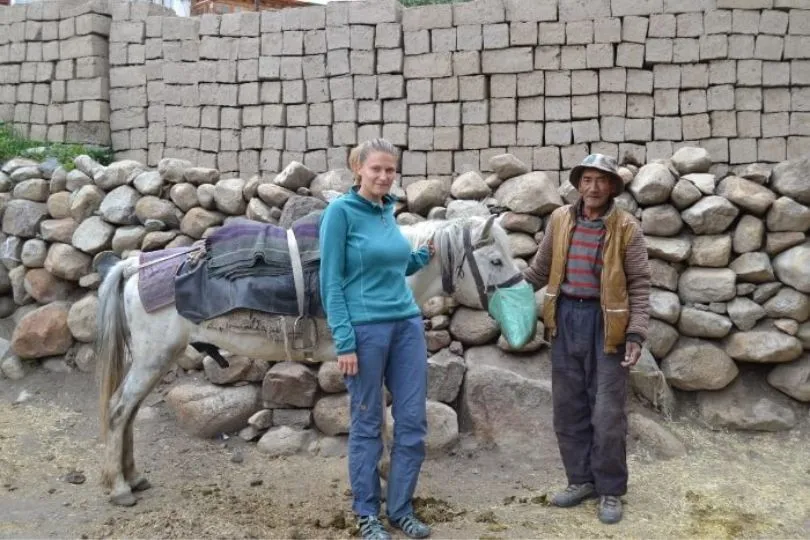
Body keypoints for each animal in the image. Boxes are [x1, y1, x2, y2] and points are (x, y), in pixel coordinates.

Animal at [94, 214, 532, 506]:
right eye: (496, 261)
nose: (524, 296)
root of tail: (133, 266)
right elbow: (377, 420)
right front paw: (379, 482)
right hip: (151, 360)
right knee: (117, 411)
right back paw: (119, 487)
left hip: (154, 361)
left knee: (128, 414)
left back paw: (133, 477)